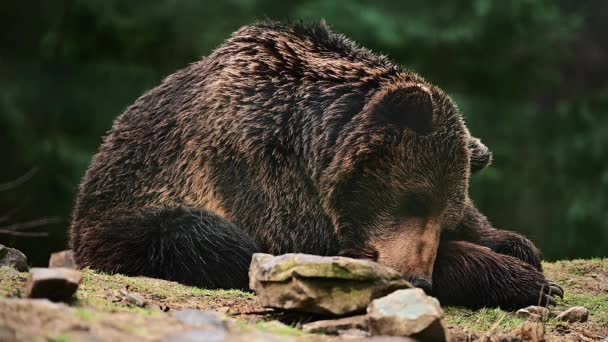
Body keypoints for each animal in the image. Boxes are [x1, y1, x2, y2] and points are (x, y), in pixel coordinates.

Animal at [70, 21, 560, 310]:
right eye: (416, 200)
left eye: (446, 213)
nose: (419, 279)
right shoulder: (254, 165)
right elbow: (315, 252)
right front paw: (530, 283)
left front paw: (516, 246)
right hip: (123, 220)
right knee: (199, 235)